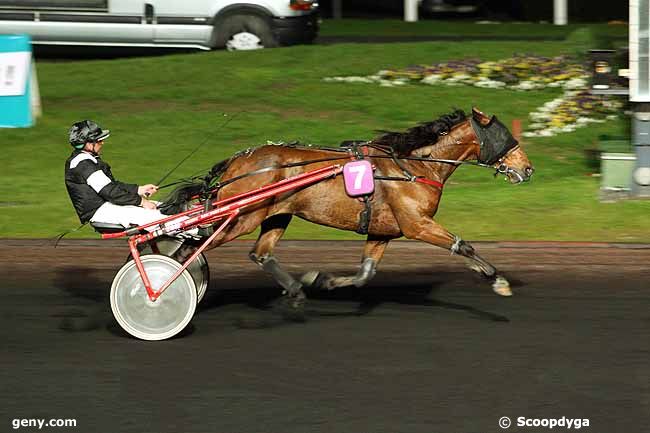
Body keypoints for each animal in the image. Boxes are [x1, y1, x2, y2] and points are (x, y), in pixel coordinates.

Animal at [161, 108, 532, 310]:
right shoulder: (417, 224)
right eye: (504, 138)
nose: (527, 169)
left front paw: (321, 280)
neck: (414, 165)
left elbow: (366, 273)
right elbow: (463, 245)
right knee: (190, 248)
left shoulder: (383, 231)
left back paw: (296, 290)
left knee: (260, 253)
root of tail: (237, 161)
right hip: (240, 217)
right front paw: (498, 279)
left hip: (276, 215)